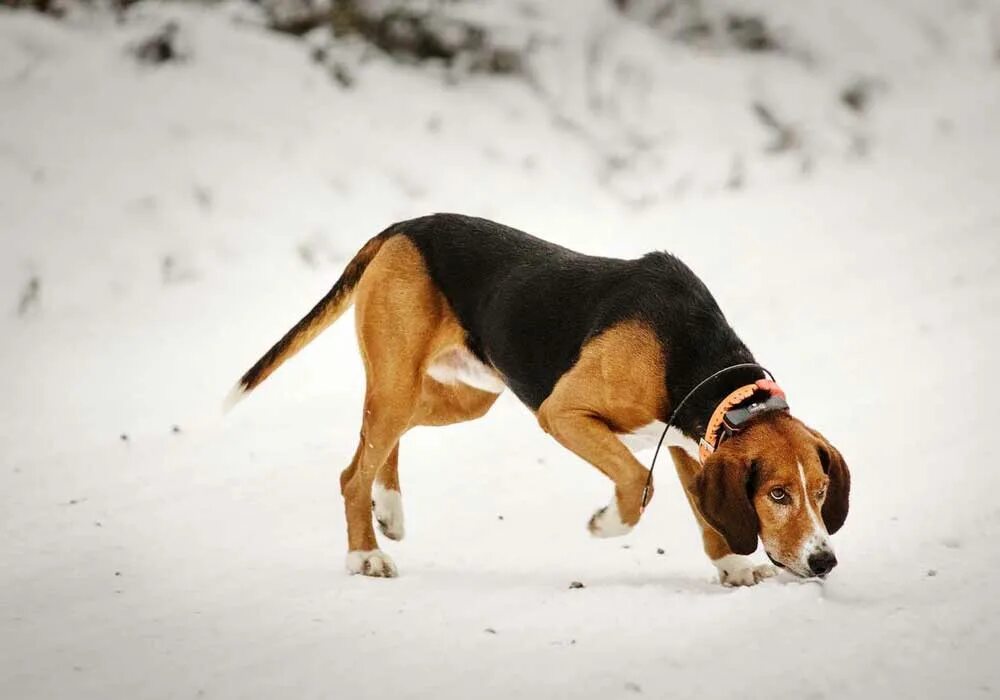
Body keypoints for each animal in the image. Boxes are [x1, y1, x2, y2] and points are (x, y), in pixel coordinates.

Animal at [230, 213, 848, 584]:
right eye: (776, 495)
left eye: (820, 492)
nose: (824, 561)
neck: (697, 359)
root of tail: (404, 225)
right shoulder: (564, 413)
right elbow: (636, 483)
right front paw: (607, 525)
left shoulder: (684, 442)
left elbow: (704, 513)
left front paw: (732, 568)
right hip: (402, 383)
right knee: (350, 472)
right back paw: (365, 552)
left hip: (459, 395)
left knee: (378, 446)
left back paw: (390, 510)